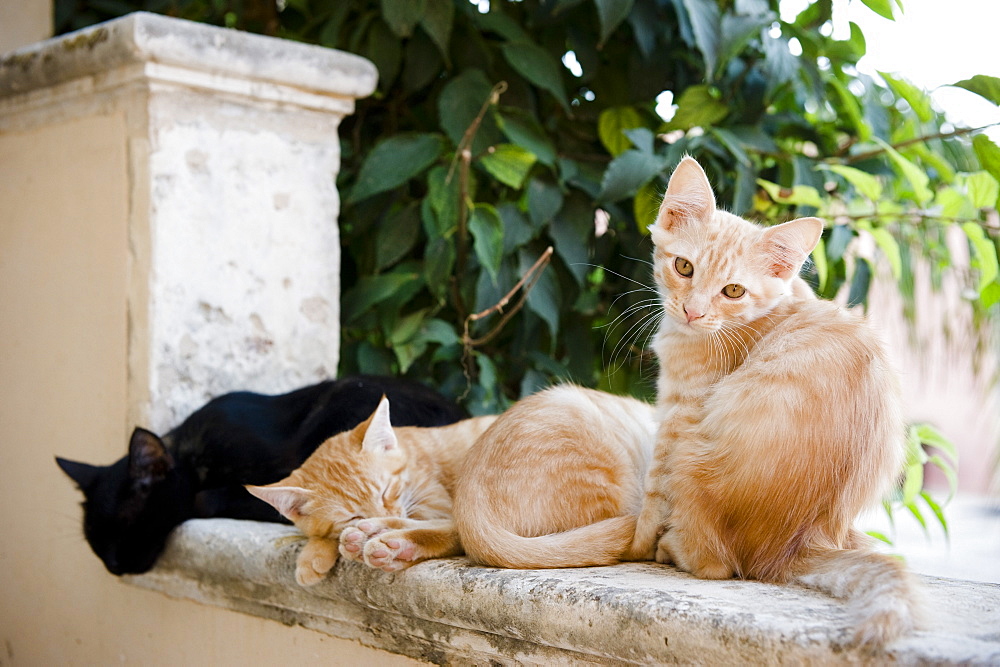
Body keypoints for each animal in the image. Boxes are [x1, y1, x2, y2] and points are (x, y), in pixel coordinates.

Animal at [624, 157, 920, 648]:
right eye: (684, 267)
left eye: (733, 291)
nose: (692, 311)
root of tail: (793, 543)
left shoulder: (679, 416)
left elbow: (653, 491)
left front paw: (635, 545)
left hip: (691, 454)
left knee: (716, 566)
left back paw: (671, 549)